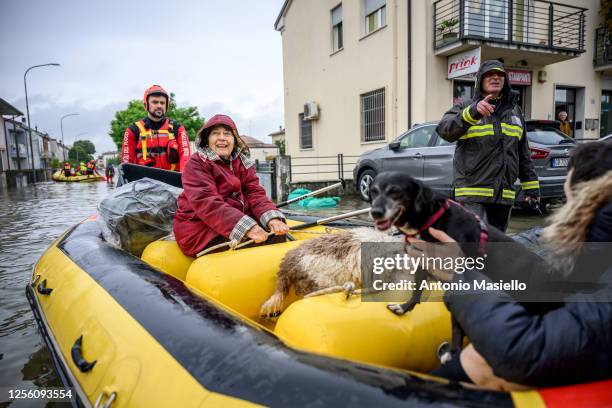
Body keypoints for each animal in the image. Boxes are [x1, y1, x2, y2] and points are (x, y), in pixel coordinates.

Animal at [366, 171, 548, 362]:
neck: (430, 218)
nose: (375, 212)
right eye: (373, 191)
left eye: (395, 191)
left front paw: (453, 353)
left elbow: (456, 324)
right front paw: (403, 308)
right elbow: (417, 292)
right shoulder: (422, 260)